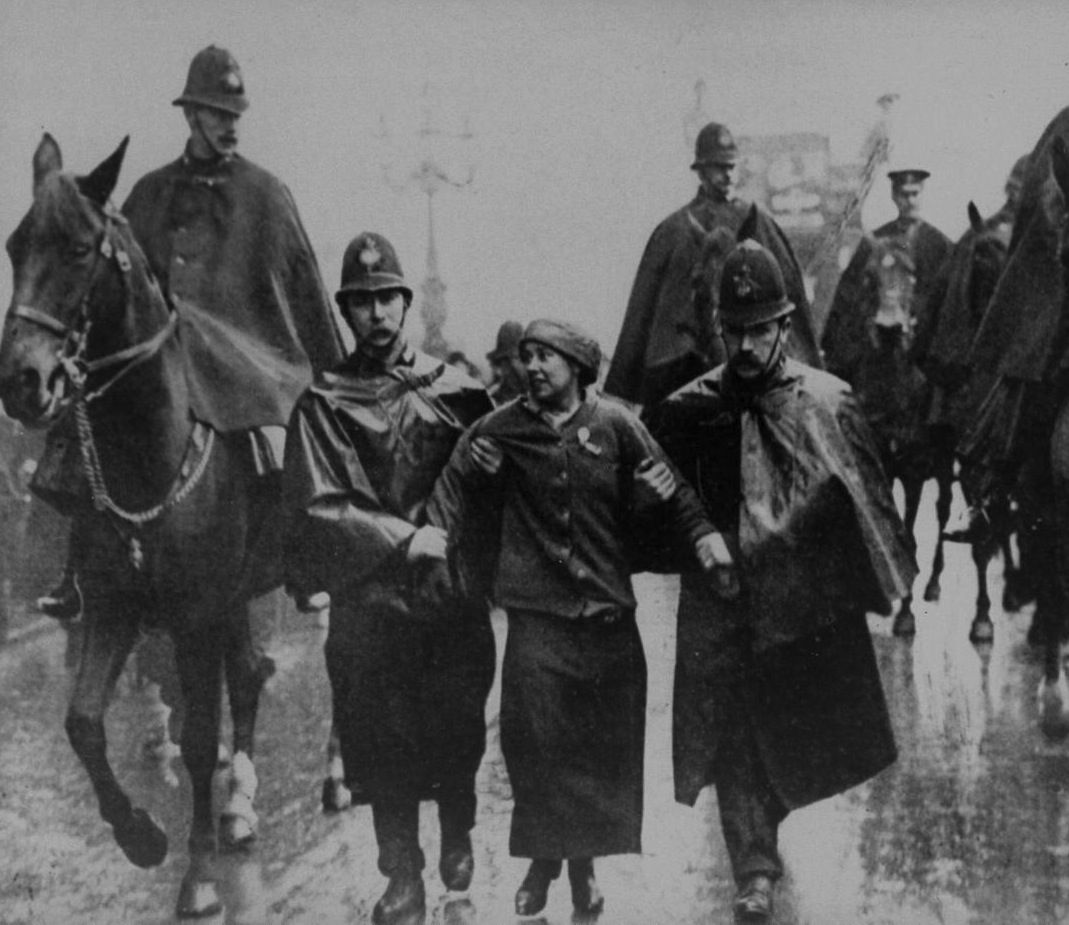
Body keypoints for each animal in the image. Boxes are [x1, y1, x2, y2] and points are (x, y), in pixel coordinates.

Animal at [0, 135, 282, 915]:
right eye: (13, 246)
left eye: (76, 248)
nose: (21, 382)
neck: (145, 455)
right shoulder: (115, 606)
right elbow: (82, 722)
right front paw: (140, 835)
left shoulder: (194, 615)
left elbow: (199, 736)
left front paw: (198, 875)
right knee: (249, 673)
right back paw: (237, 806)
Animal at [816, 233, 953, 633]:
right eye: (868, 276)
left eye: (912, 275)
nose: (890, 329)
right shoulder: (875, 463)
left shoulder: (914, 470)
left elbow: (908, 534)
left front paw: (906, 613)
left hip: (943, 461)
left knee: (943, 507)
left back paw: (934, 582)